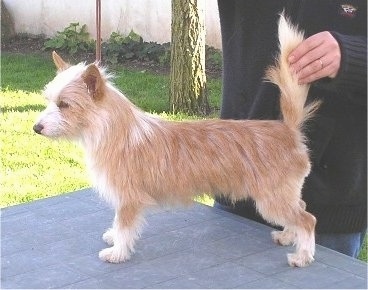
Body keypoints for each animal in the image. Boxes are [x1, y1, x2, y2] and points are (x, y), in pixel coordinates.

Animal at [34, 14, 320, 268]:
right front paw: (114, 238)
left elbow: (125, 226)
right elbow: (118, 224)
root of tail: (288, 130)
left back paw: (302, 256)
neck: (113, 129)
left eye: (64, 105)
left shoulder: (128, 199)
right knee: (301, 208)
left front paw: (117, 252)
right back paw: (287, 236)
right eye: (48, 100)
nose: (36, 128)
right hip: (282, 196)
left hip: (272, 200)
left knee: (307, 219)